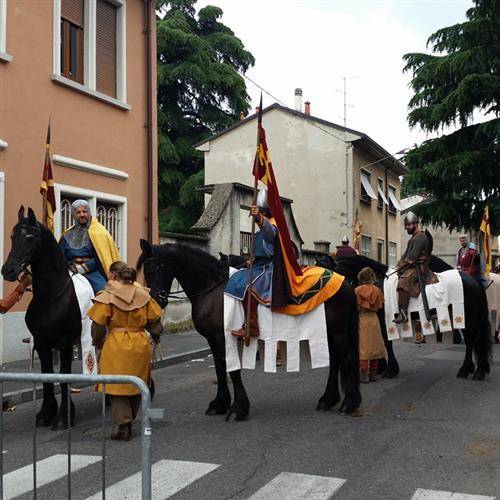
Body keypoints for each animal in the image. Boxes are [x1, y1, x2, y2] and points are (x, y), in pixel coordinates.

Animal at [1, 207, 80, 430]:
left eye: (29, 237)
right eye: (12, 237)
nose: (8, 270)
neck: (51, 297)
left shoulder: (65, 343)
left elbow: (64, 375)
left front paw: (64, 417)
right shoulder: (42, 343)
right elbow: (46, 375)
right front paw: (46, 413)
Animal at [139, 240, 362, 420]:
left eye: (154, 268)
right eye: (146, 270)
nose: (157, 299)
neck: (213, 288)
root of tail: (346, 284)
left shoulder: (223, 337)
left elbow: (232, 369)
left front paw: (237, 409)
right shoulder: (212, 339)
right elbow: (220, 368)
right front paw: (219, 404)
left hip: (338, 330)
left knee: (347, 358)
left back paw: (348, 403)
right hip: (327, 331)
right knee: (336, 360)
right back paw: (328, 400)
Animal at [330, 256, 490, 380]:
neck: (375, 282)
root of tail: (474, 281)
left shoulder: (384, 320)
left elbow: (387, 343)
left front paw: (390, 369)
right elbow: (383, 342)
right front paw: (384, 368)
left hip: (468, 317)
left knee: (475, 340)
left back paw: (476, 371)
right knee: (470, 341)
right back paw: (468, 369)